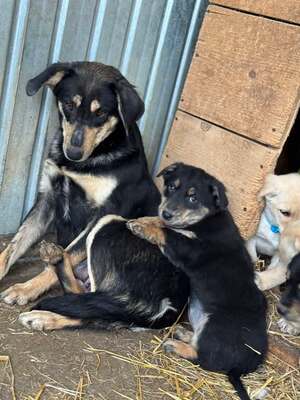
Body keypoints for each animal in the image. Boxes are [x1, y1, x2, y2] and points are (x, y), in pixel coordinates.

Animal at [0, 62, 188, 326]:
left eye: (100, 114)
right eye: (69, 105)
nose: (73, 153)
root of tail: (175, 303)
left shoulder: (101, 212)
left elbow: (70, 251)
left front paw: (26, 289)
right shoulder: (47, 199)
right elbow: (13, 247)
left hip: (110, 225)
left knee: (94, 304)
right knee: (91, 307)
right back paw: (44, 316)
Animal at [126, 163, 268, 400]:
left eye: (193, 198)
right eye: (171, 187)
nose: (167, 212)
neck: (204, 220)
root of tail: (243, 366)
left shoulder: (190, 249)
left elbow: (168, 231)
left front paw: (144, 227)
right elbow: (165, 225)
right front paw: (142, 221)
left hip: (215, 327)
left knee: (204, 359)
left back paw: (175, 345)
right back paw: (184, 333)